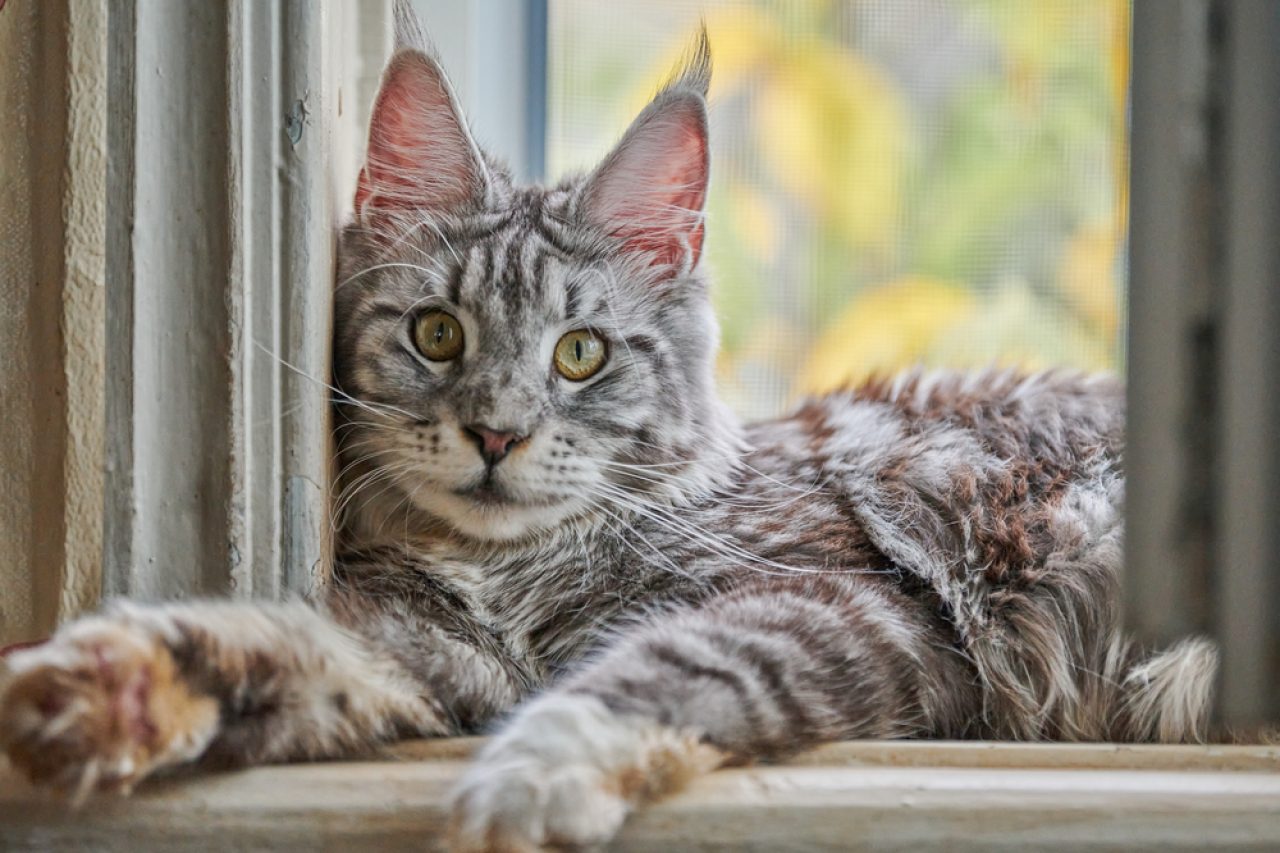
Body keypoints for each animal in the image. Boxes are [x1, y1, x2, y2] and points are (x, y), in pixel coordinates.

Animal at [2, 3, 1218, 845]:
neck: (510, 572)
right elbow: (283, 638)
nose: (496, 435)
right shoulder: (433, 648)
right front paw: (108, 687)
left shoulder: (837, 599)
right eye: (436, 334)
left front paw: (523, 785)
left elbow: (657, 671)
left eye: (578, 353)